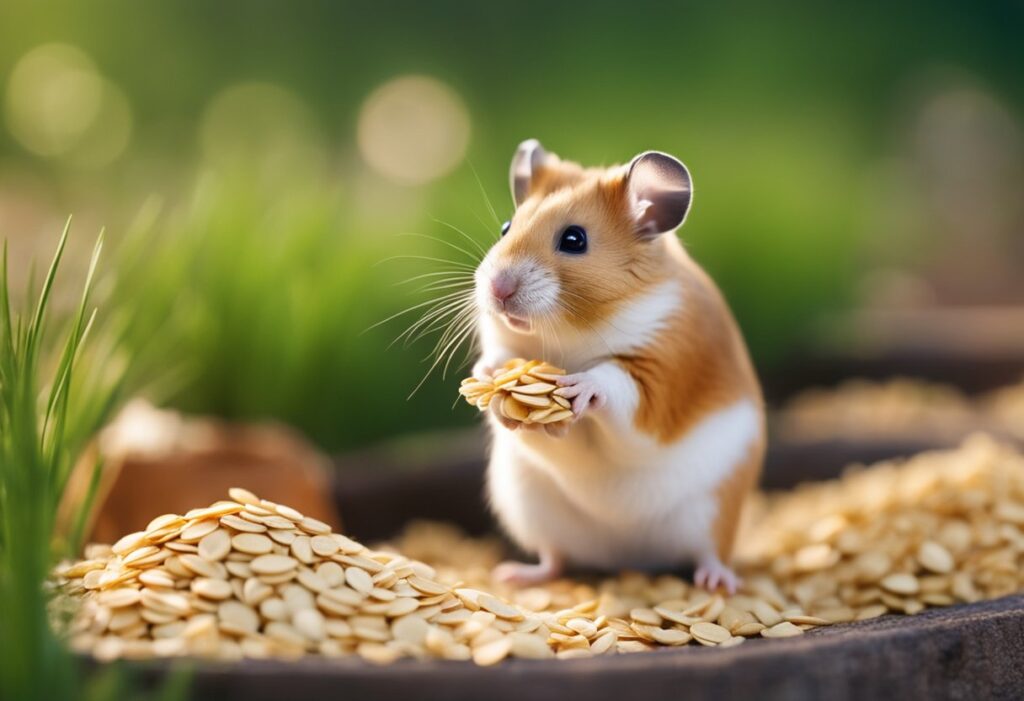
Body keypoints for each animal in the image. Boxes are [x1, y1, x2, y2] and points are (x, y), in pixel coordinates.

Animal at [472, 139, 765, 593]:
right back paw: (515, 575)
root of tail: (629, 560)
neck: (570, 333)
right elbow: (500, 361)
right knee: (555, 558)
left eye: (574, 239)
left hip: (714, 510)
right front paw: (488, 378)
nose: (497, 289)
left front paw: (578, 388)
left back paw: (717, 583)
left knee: (711, 553)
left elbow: (614, 383)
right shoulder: (505, 341)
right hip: (531, 511)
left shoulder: (663, 374)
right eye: (506, 227)